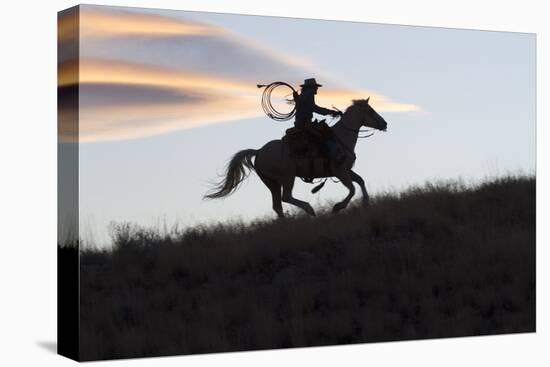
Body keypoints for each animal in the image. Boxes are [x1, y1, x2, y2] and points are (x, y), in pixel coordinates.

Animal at [205, 98, 390, 218]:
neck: (341, 138)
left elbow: (360, 181)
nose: (385, 124)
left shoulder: (346, 171)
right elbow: (352, 188)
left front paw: (366, 203)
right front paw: (338, 207)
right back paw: (309, 209)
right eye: (371, 111)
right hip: (287, 177)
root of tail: (259, 152)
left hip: (271, 183)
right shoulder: (340, 171)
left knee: (277, 205)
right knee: (286, 197)